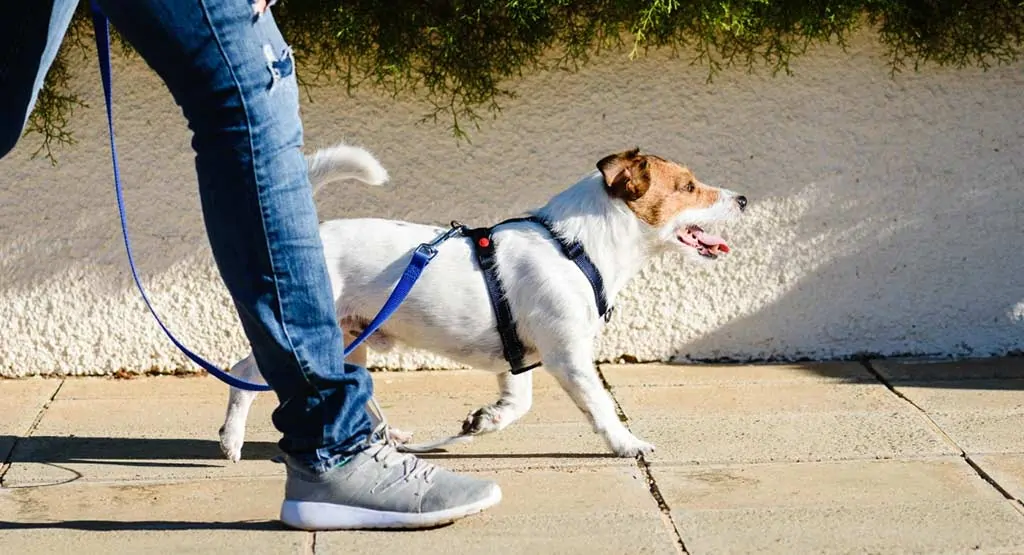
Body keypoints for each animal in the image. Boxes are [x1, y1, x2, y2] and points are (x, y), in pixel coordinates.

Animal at [218, 142, 745, 460]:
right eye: (688, 187)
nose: (742, 200)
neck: (576, 246)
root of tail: (311, 238)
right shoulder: (569, 357)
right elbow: (600, 407)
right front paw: (626, 443)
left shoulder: (519, 358)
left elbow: (516, 404)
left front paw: (483, 421)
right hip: (310, 335)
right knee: (244, 374)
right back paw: (232, 440)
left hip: (352, 339)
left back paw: (389, 437)